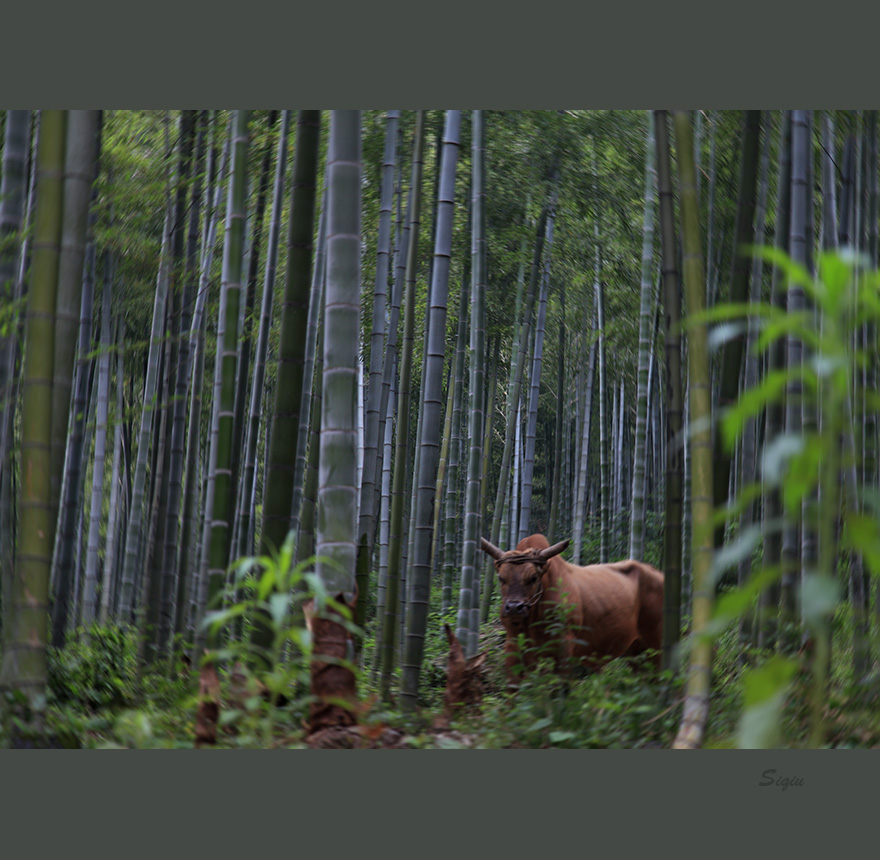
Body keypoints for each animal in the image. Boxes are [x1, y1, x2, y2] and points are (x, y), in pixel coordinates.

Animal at [482, 536, 660, 688]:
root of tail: (658, 574)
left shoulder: (564, 647)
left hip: (656, 643)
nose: (514, 608)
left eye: (533, 577)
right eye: (501, 577)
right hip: (635, 649)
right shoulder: (512, 646)